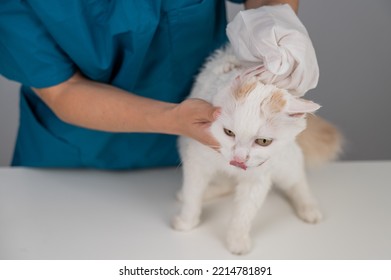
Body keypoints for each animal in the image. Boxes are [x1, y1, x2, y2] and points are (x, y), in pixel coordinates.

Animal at [173, 46, 342, 256]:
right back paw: (202, 193)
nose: (239, 158)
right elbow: (192, 196)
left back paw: (309, 208)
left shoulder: (258, 178)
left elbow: (243, 214)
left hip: (286, 164)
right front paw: (186, 222)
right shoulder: (196, 161)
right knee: (225, 185)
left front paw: (237, 241)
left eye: (263, 142)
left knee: (298, 181)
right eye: (229, 133)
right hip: (184, 145)